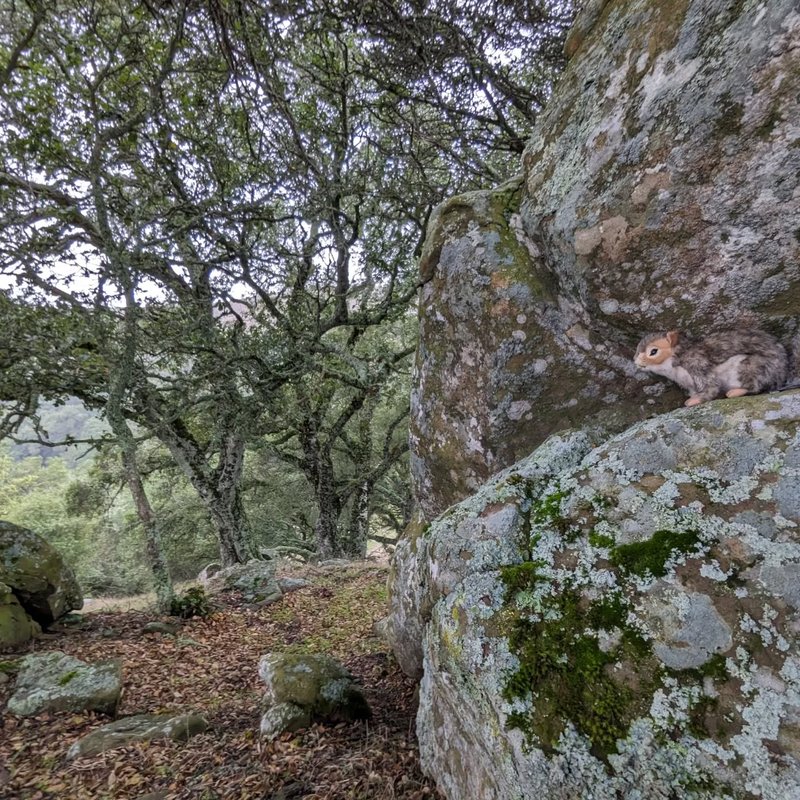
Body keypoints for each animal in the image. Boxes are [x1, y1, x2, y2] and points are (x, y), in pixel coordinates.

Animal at [634, 328, 790, 407]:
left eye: (653, 351)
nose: (636, 362)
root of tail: (780, 375)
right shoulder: (690, 384)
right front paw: (693, 397)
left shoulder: (697, 365)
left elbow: (711, 387)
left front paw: (693, 401)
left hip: (750, 367)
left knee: (755, 386)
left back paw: (735, 392)